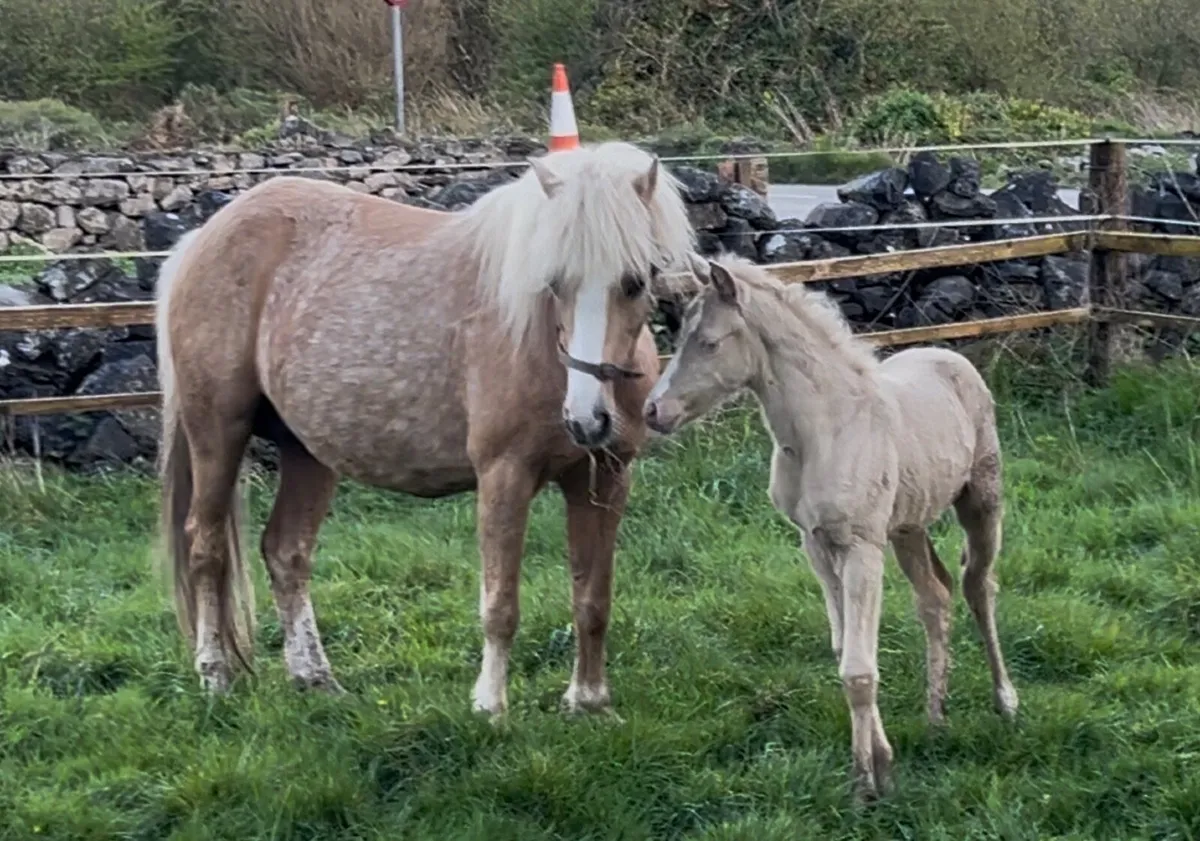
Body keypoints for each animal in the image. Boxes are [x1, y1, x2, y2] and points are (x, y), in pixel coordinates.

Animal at [153, 141, 697, 718]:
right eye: (553, 282)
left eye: (636, 280)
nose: (587, 420)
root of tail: (201, 238)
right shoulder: (504, 476)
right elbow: (500, 604)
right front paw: (490, 706)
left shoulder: (605, 480)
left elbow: (592, 598)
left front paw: (589, 700)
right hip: (217, 431)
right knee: (205, 547)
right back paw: (216, 674)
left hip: (306, 451)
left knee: (286, 552)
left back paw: (314, 677)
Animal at [642, 254, 1018, 800]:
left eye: (710, 341)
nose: (653, 411)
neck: (824, 432)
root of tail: (951, 357)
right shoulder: (816, 545)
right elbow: (846, 648)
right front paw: (883, 763)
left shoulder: (861, 547)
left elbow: (860, 667)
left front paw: (865, 783)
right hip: (906, 528)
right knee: (935, 598)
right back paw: (935, 717)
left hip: (982, 500)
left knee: (979, 585)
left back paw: (1005, 701)